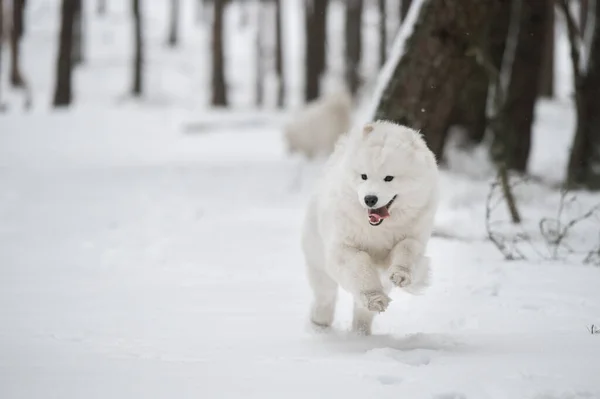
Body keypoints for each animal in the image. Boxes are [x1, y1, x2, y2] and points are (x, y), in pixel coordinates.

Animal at [302, 120, 438, 336]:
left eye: (389, 178)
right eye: (364, 176)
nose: (370, 199)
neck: (378, 230)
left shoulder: (413, 237)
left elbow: (406, 250)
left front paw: (400, 275)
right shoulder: (344, 247)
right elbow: (361, 264)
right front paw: (374, 296)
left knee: (361, 310)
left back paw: (361, 332)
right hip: (318, 263)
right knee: (325, 295)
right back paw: (320, 323)